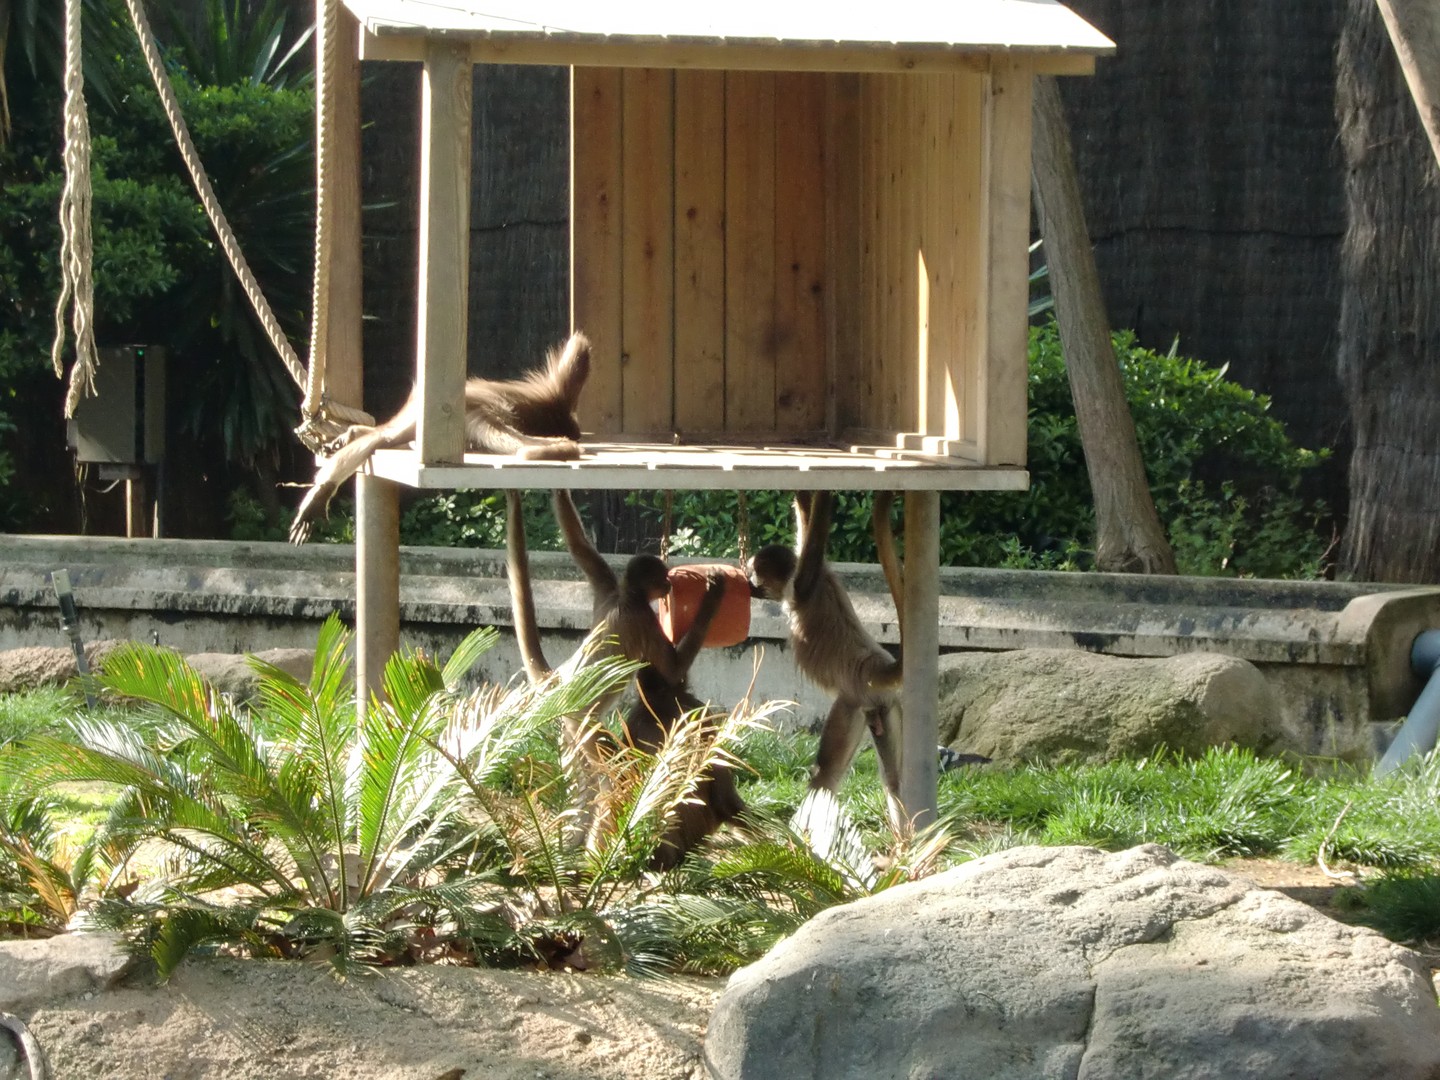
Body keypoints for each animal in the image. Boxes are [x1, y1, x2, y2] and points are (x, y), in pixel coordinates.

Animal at [506, 489, 748, 869]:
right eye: (662, 579)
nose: (668, 584)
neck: (625, 597)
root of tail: (559, 682)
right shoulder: (643, 618)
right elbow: (673, 670)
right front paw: (713, 596)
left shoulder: (605, 582)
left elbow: (578, 543)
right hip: (584, 726)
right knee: (615, 777)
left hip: (569, 734)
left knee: (585, 786)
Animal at [748, 495, 904, 823]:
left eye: (754, 576)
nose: (748, 582)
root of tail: (875, 666)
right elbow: (807, 521)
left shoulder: (803, 584)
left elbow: (814, 535)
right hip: (882, 707)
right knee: (893, 782)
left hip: (851, 704)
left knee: (825, 776)